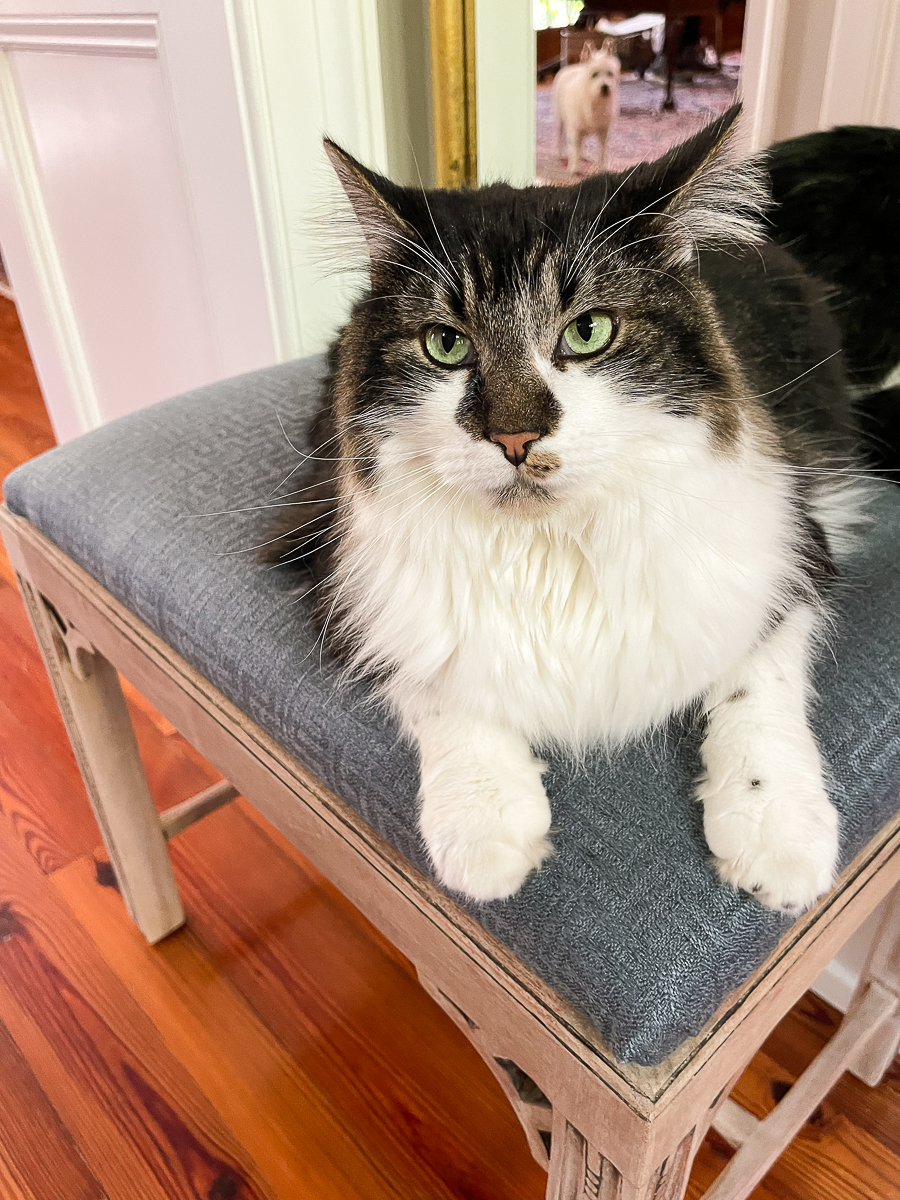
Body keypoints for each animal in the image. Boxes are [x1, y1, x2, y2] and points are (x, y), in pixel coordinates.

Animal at [266, 110, 868, 916]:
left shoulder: (792, 547)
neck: (552, 550)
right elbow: (439, 686)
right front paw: (485, 824)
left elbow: (758, 687)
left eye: (589, 332)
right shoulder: (347, 581)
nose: (515, 437)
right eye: (445, 344)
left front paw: (776, 832)